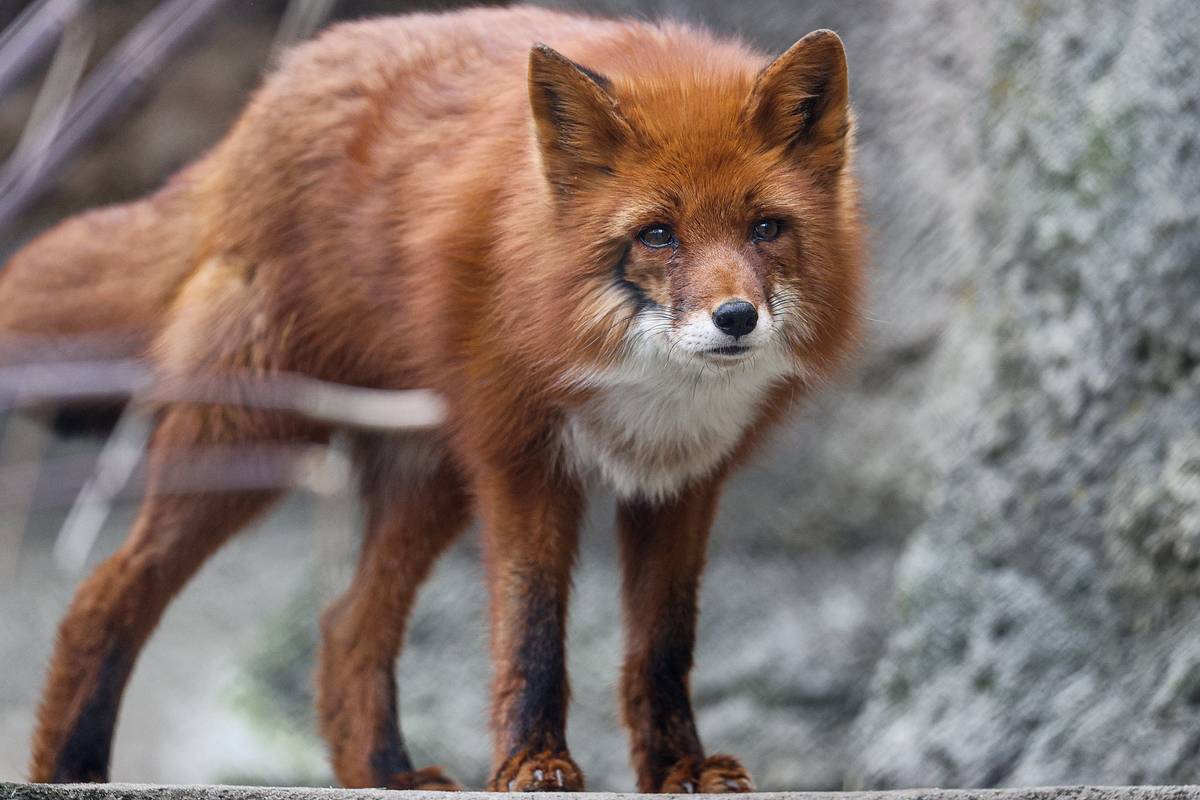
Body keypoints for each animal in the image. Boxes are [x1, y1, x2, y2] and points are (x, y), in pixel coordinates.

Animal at [0, 4, 864, 796]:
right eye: (658, 234)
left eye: (765, 228)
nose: (735, 318)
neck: (651, 390)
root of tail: (271, 94)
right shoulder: (521, 457)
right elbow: (531, 632)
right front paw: (533, 764)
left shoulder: (684, 481)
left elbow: (662, 647)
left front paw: (678, 767)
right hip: (256, 438)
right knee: (107, 593)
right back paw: (71, 769)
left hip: (429, 477)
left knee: (346, 627)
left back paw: (385, 774)